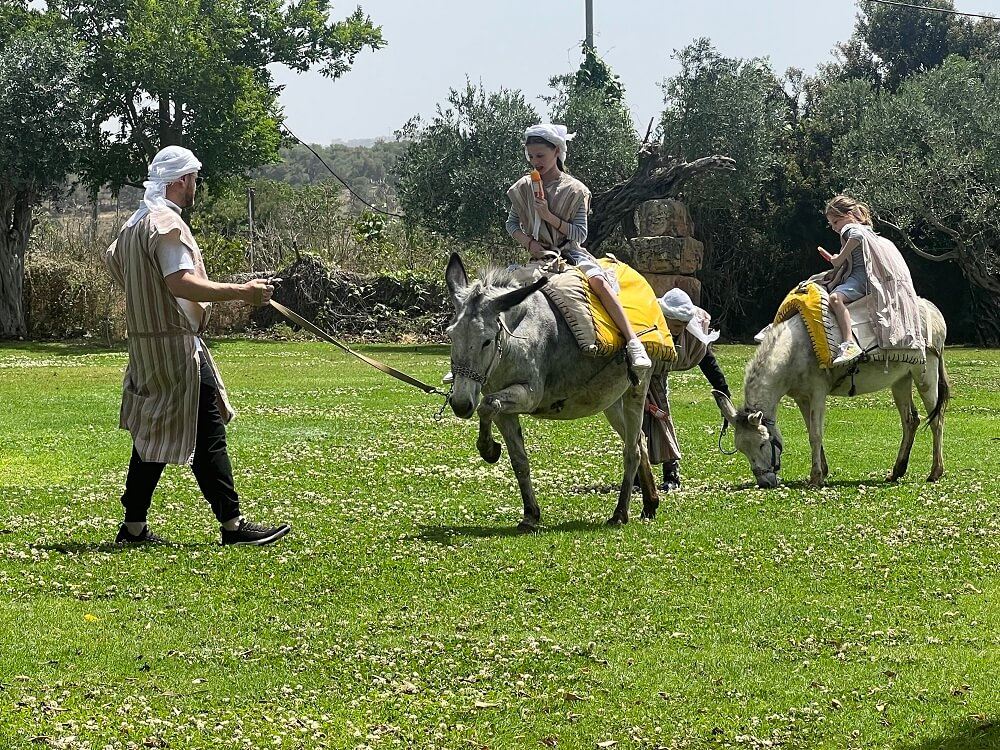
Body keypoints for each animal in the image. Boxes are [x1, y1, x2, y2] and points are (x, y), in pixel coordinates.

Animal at [444, 253, 660, 530]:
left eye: (487, 340)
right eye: (451, 336)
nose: (460, 404)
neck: (516, 339)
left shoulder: (528, 395)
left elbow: (487, 405)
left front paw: (489, 449)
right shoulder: (505, 408)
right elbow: (518, 458)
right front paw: (530, 514)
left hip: (637, 390)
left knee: (632, 450)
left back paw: (620, 513)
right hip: (611, 401)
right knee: (640, 441)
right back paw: (650, 504)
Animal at [712, 298, 949, 489]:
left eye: (762, 444)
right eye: (742, 449)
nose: (764, 483)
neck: (793, 352)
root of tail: (934, 311)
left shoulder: (817, 393)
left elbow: (816, 434)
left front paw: (816, 477)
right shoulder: (801, 398)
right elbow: (811, 431)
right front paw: (822, 471)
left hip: (925, 376)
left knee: (936, 420)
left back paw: (935, 472)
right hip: (901, 380)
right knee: (910, 421)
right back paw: (897, 471)